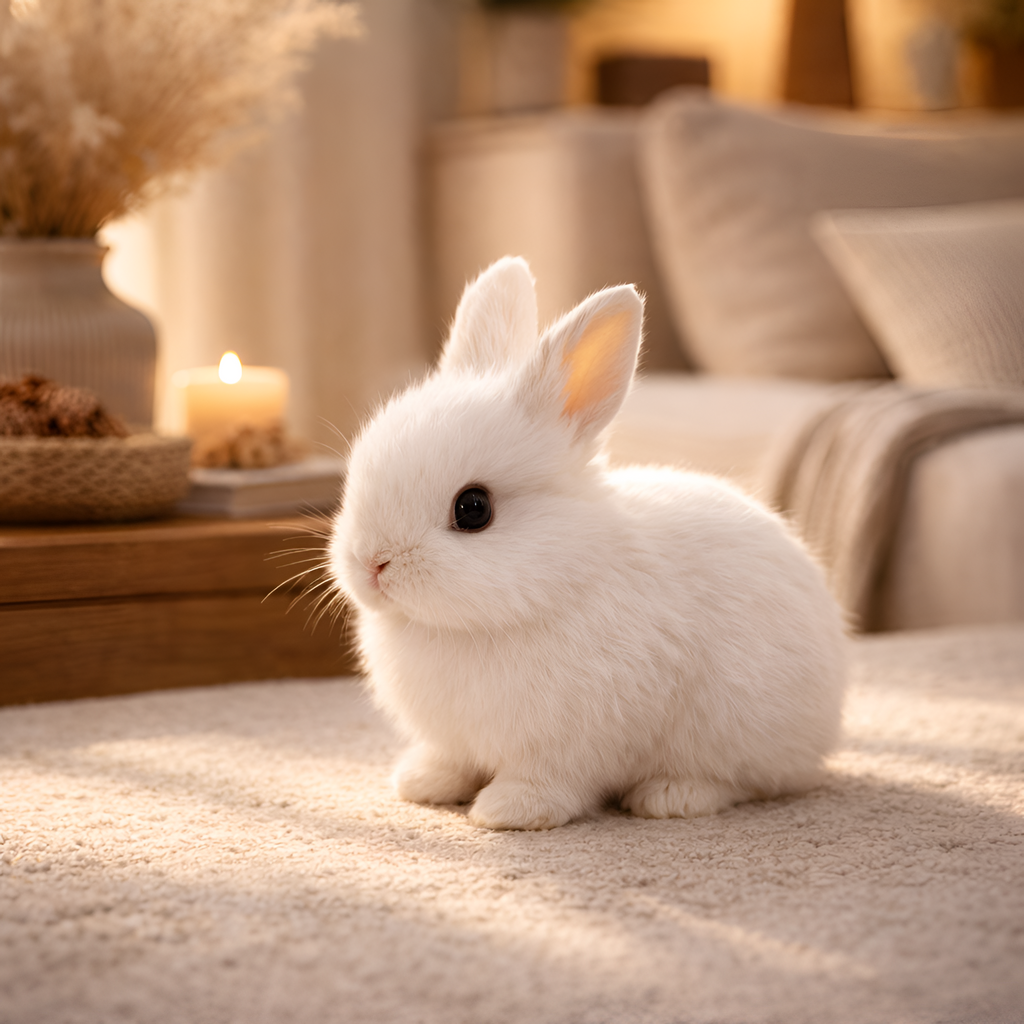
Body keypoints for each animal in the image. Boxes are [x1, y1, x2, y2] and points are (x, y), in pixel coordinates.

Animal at [329, 256, 847, 831]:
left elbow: (550, 782)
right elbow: (453, 760)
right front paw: (423, 784)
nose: (371, 564)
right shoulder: (456, 738)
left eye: (473, 509)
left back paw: (671, 796)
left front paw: (507, 812)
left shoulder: (569, 745)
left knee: (746, 782)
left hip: (737, 732)